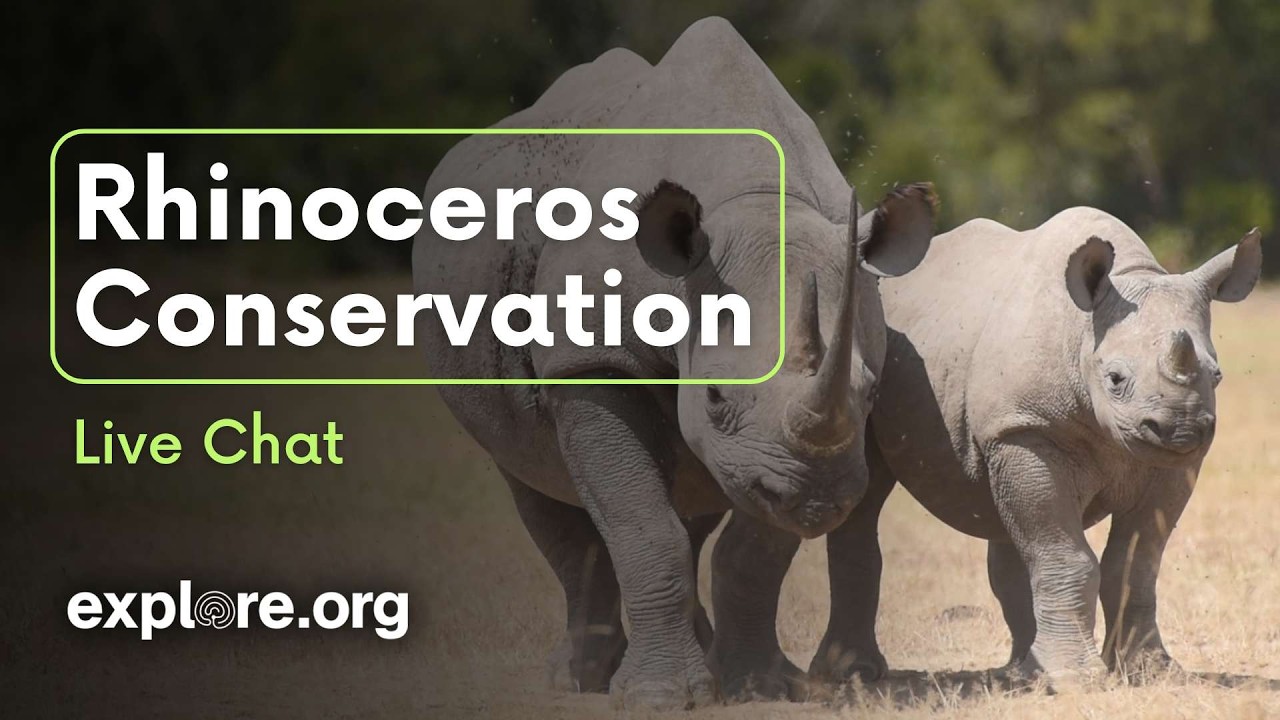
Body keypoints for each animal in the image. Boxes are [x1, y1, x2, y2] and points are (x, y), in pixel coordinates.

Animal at [411, 17, 935, 709]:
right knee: (536, 482)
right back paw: (581, 680)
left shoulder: (774, 453)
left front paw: (759, 688)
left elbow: (752, 549)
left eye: (872, 394)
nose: (821, 500)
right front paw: (657, 698)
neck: (756, 207)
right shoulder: (593, 367)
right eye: (713, 396)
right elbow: (641, 526)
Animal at [715, 207, 1263, 689]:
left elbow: (1135, 564)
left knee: (1011, 524)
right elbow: (1067, 554)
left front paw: (1151, 672)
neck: (1084, 333)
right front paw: (1077, 678)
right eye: (1115, 379)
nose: (1182, 429)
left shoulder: (1163, 463)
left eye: (1216, 376)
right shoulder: (1025, 428)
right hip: (863, 363)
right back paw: (854, 674)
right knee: (866, 493)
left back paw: (1025, 671)